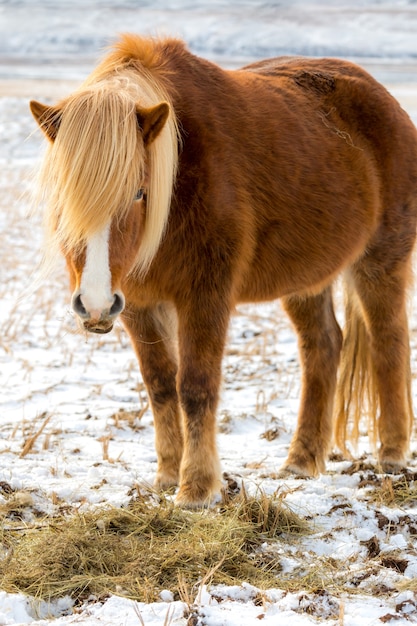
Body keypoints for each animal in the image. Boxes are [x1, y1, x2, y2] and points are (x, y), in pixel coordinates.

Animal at [30, 34, 416, 504]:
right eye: (65, 197)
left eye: (139, 192)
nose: (96, 304)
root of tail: (385, 99)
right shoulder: (138, 304)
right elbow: (160, 385)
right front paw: (167, 475)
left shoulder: (205, 295)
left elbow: (195, 386)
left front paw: (196, 488)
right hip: (307, 280)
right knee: (323, 346)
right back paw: (301, 462)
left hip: (381, 261)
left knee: (388, 342)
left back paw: (392, 456)